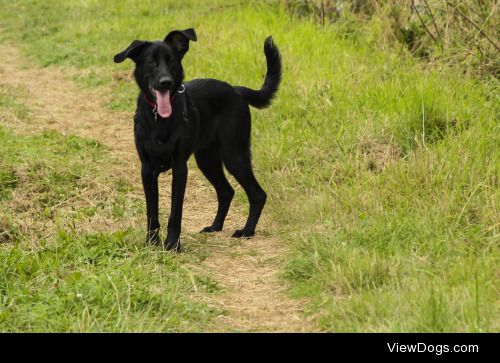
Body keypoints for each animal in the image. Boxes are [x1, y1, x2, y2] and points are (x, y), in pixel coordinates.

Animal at [114, 28, 284, 252]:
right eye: (150, 61)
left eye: (172, 61)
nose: (165, 82)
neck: (159, 118)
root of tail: (236, 90)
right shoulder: (147, 170)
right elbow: (152, 212)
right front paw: (151, 244)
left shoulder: (180, 168)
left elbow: (175, 213)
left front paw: (172, 245)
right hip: (207, 159)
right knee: (226, 191)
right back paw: (215, 227)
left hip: (234, 155)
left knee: (257, 194)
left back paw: (246, 231)